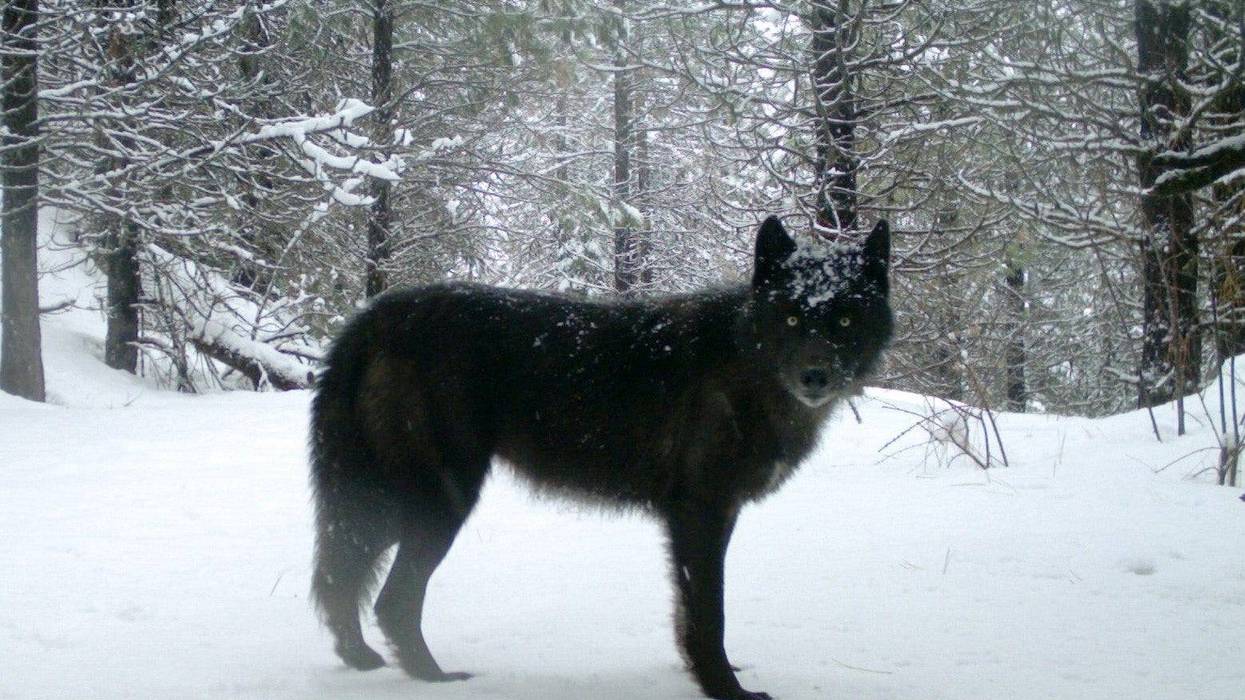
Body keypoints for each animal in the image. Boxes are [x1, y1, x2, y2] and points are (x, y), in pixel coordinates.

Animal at [309, 215, 892, 700]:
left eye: (844, 321)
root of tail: (373, 318)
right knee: (390, 598)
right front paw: (726, 691)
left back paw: (362, 660)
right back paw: (434, 678)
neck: (746, 364)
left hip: (388, 503)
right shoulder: (700, 515)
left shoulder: (710, 517)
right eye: (791, 317)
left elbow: (688, 615)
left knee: (340, 578)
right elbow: (710, 614)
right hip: (438, 503)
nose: (815, 376)